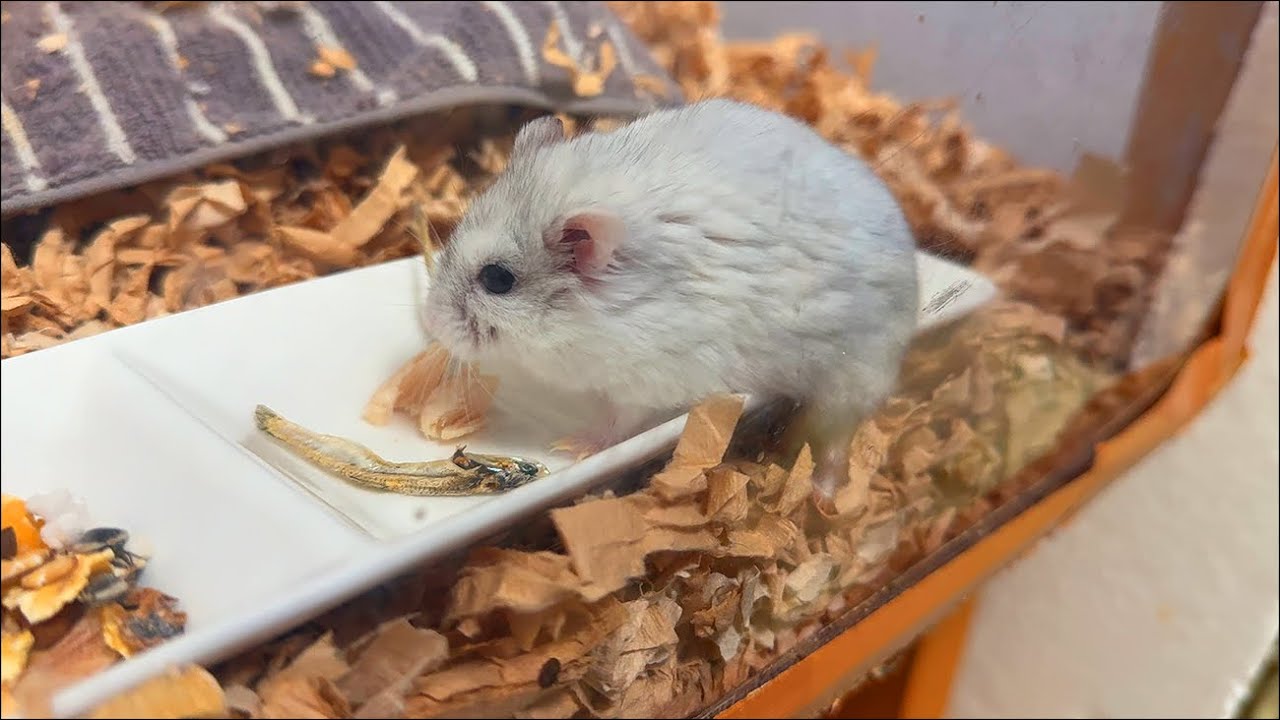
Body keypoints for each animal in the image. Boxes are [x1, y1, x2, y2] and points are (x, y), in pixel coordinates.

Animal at [420, 98, 919, 503]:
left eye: (497, 279)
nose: (432, 322)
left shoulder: (647, 377)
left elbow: (620, 421)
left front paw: (574, 445)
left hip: (852, 377)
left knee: (836, 440)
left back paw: (821, 497)